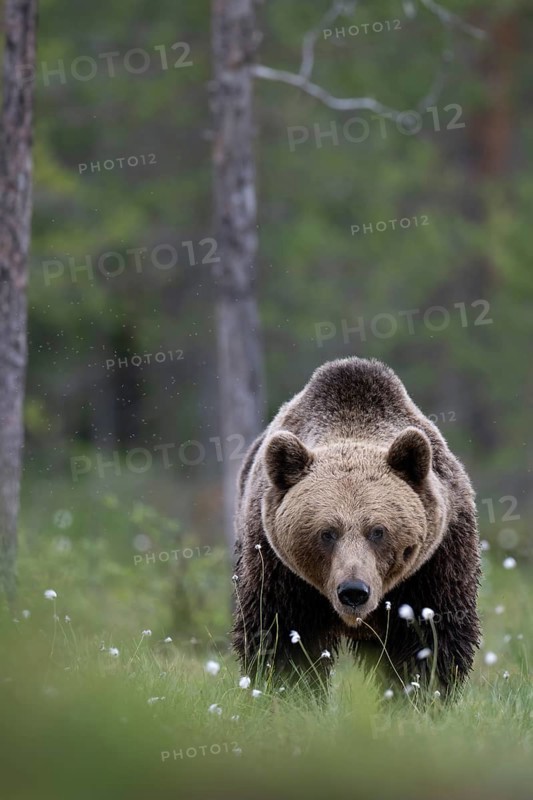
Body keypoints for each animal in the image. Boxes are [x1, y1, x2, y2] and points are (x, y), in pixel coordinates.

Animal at [232, 357, 481, 696]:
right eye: (327, 533)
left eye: (378, 531)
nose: (353, 592)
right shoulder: (279, 570)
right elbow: (282, 635)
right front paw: (289, 689)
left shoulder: (434, 563)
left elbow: (431, 636)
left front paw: (417, 694)